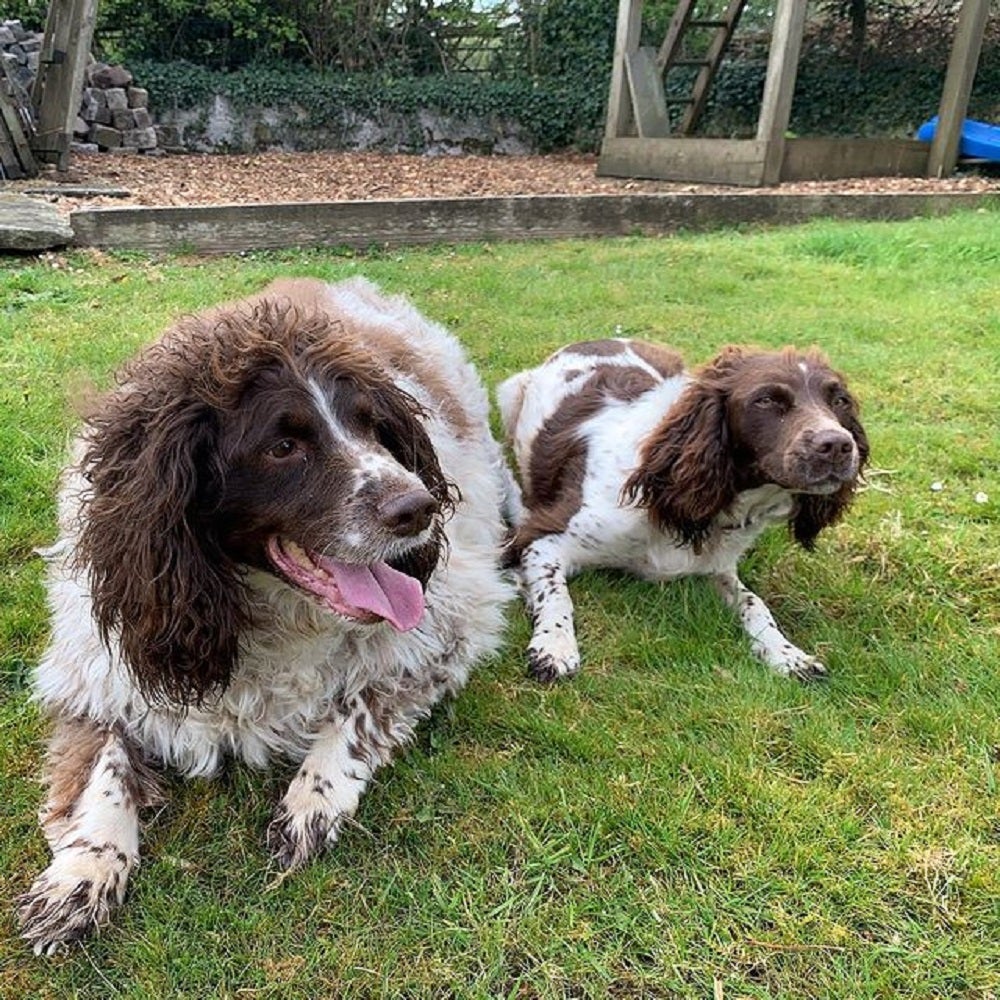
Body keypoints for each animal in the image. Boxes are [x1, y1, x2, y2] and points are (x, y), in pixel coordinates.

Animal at [18, 278, 512, 956]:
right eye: (283, 447)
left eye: (375, 428)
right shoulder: (98, 665)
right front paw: (81, 871)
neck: (258, 610)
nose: (421, 507)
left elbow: (359, 712)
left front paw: (313, 800)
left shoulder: (451, 627)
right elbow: (105, 771)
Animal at [500, 340, 868, 684]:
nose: (838, 445)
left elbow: (755, 603)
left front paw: (789, 654)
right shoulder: (541, 538)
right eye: (766, 400)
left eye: (839, 401)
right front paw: (554, 645)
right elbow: (557, 595)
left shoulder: (716, 567)